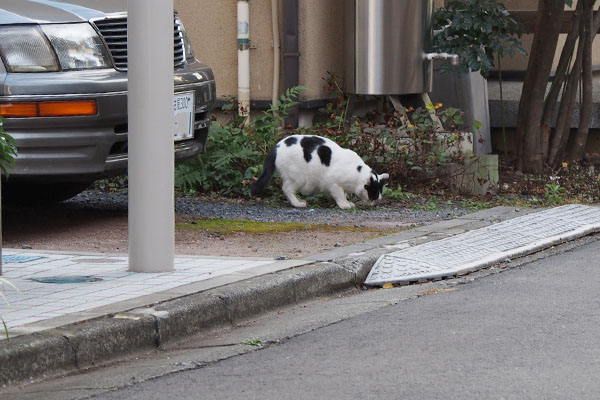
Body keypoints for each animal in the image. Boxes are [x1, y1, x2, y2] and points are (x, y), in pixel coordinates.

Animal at [250, 135, 386, 209]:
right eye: (373, 196)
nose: (374, 204)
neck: (357, 173)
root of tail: (276, 146)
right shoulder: (334, 184)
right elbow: (340, 195)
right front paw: (344, 205)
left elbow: (345, 194)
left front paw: (348, 202)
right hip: (299, 178)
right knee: (286, 189)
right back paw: (297, 203)